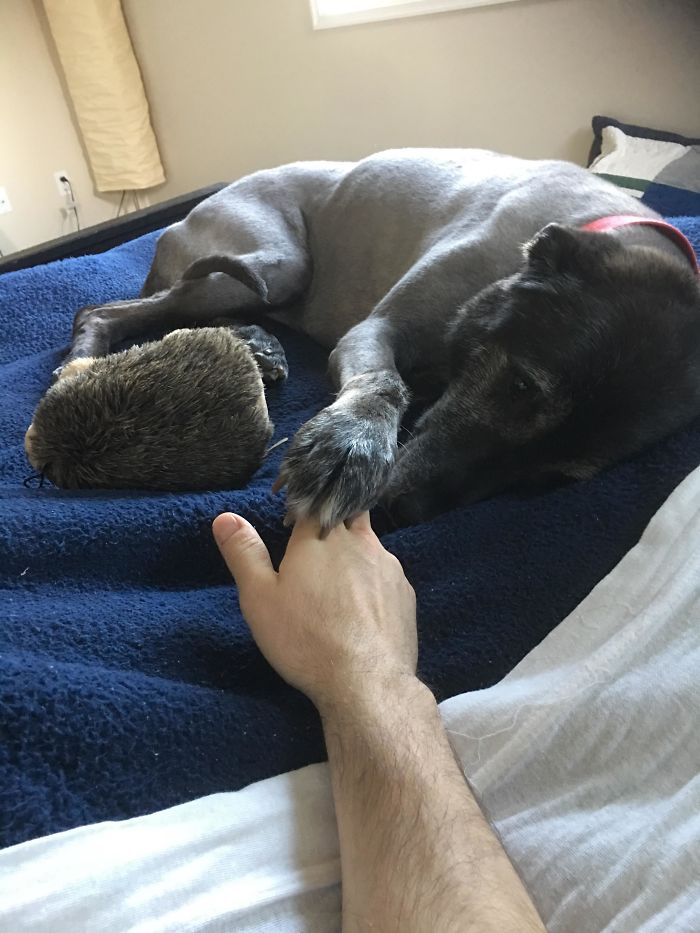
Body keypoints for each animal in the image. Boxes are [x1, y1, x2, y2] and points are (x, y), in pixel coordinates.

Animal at [61, 146, 700, 524]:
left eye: (551, 480)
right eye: (521, 386)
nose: (401, 511)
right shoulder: (375, 329)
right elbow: (385, 384)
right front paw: (350, 445)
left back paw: (258, 345)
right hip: (273, 264)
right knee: (107, 312)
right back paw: (81, 363)